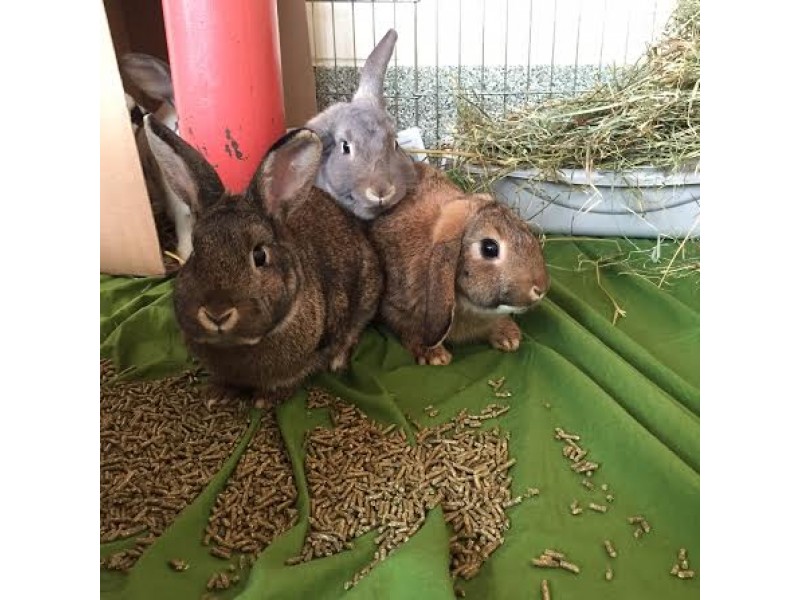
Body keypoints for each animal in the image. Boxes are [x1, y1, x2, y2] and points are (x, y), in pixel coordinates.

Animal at [143, 116, 384, 405]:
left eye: (259, 255)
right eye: (195, 252)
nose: (217, 313)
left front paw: (266, 399)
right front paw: (218, 393)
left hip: (368, 291)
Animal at [369, 163, 551, 366]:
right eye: (489, 248)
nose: (541, 289)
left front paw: (509, 337)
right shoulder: (397, 311)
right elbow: (409, 332)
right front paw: (435, 356)